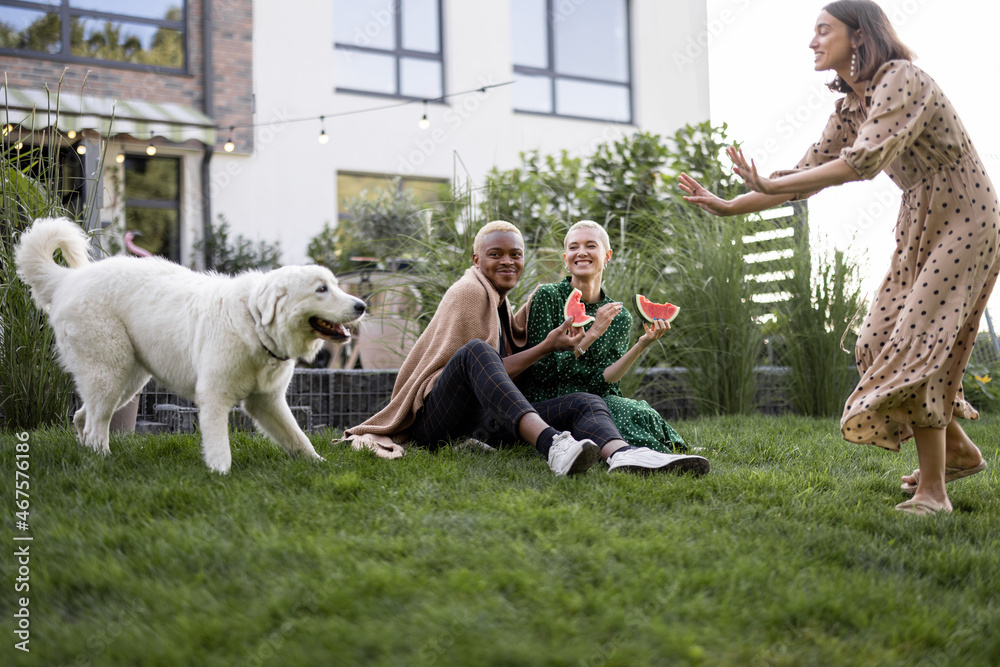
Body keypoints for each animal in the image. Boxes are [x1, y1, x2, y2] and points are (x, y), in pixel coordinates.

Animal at [16, 217, 368, 472]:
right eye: (321, 289)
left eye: (335, 285)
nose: (362, 306)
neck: (253, 323)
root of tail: (68, 279)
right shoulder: (213, 396)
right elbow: (219, 446)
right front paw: (220, 475)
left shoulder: (267, 402)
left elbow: (298, 437)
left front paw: (320, 465)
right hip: (110, 371)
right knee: (95, 425)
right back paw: (102, 460)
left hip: (128, 380)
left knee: (81, 417)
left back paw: (90, 456)